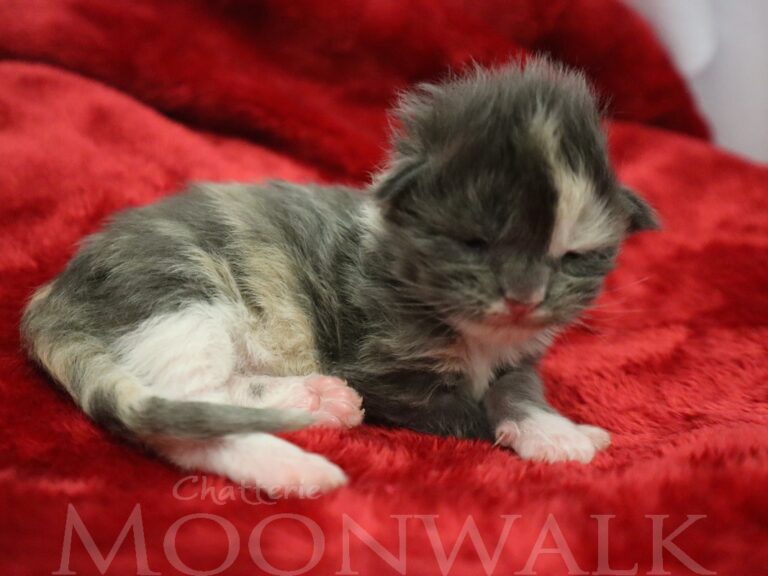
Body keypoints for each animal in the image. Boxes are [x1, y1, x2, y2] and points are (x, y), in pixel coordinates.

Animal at [21, 58, 658, 494]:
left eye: (572, 256)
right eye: (474, 244)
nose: (524, 298)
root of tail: (52, 295)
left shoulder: (517, 359)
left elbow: (516, 391)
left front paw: (555, 426)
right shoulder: (387, 373)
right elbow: (470, 414)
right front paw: (559, 433)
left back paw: (316, 401)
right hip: (179, 296)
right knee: (182, 416)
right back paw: (295, 463)